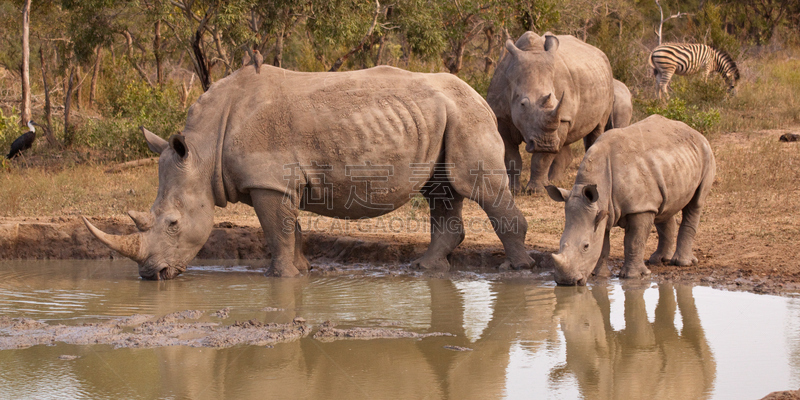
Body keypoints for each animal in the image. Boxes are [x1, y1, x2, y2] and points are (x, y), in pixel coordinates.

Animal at [83, 64, 536, 280]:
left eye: (173, 223)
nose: (151, 275)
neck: (202, 150)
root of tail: (479, 94)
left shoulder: (269, 181)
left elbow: (276, 230)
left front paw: (279, 277)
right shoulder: (279, 182)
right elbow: (291, 229)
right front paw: (301, 271)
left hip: (468, 116)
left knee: (480, 188)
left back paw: (515, 270)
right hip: (445, 117)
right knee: (443, 191)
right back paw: (424, 269)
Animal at [484, 31, 616, 194]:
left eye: (556, 100)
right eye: (523, 104)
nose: (546, 144)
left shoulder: (562, 115)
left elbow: (542, 159)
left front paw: (536, 191)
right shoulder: (501, 116)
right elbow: (511, 156)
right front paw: (513, 190)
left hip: (608, 80)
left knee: (597, 129)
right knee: (563, 141)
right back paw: (554, 181)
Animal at [548, 114, 716, 286]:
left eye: (585, 246)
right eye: (560, 243)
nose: (566, 281)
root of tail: (693, 130)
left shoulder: (640, 207)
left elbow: (634, 241)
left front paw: (633, 276)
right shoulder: (601, 208)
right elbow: (603, 244)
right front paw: (600, 275)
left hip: (706, 152)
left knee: (696, 203)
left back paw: (682, 263)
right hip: (671, 163)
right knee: (664, 207)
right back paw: (659, 260)